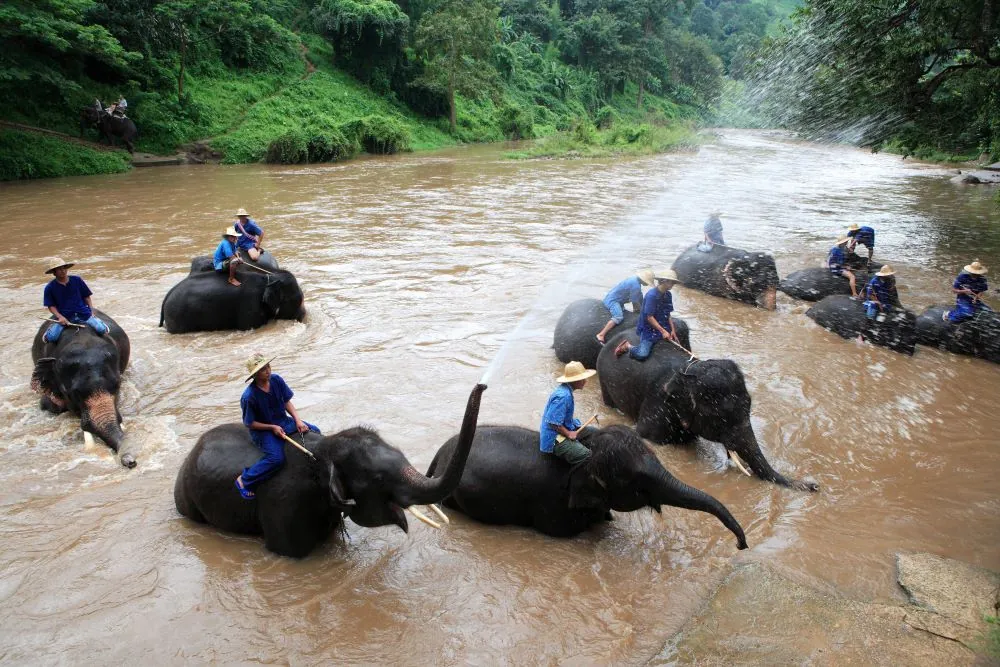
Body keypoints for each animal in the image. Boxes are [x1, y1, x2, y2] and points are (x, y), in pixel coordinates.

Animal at [159, 264, 305, 333]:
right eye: (298, 299)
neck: (269, 278)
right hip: (178, 318)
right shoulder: (250, 306)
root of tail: (166, 297)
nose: (304, 315)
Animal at [596, 330, 818, 492]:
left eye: (749, 405)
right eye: (722, 418)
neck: (690, 372)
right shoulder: (658, 405)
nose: (815, 485)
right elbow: (648, 435)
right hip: (603, 380)